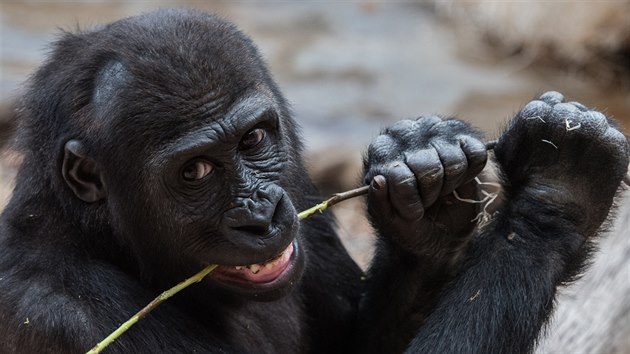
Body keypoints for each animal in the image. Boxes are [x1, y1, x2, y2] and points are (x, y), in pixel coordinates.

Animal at [0, 8, 628, 354]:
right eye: (194, 171)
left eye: (253, 140)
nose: (260, 214)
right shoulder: (61, 308)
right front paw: (559, 191)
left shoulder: (300, 190)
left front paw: (424, 199)